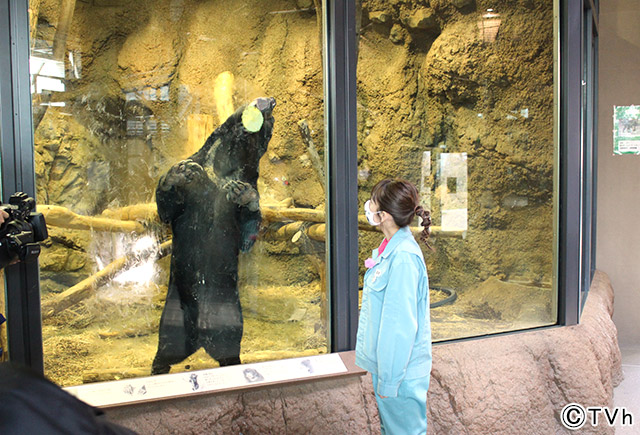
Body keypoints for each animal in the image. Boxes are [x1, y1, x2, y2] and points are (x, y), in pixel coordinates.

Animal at [154, 98, 276, 374]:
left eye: (270, 126)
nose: (271, 101)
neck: (221, 171)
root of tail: (201, 339)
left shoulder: (248, 179)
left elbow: (248, 232)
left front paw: (243, 193)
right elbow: (166, 209)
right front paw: (181, 172)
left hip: (231, 320)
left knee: (229, 350)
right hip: (172, 317)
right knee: (164, 351)